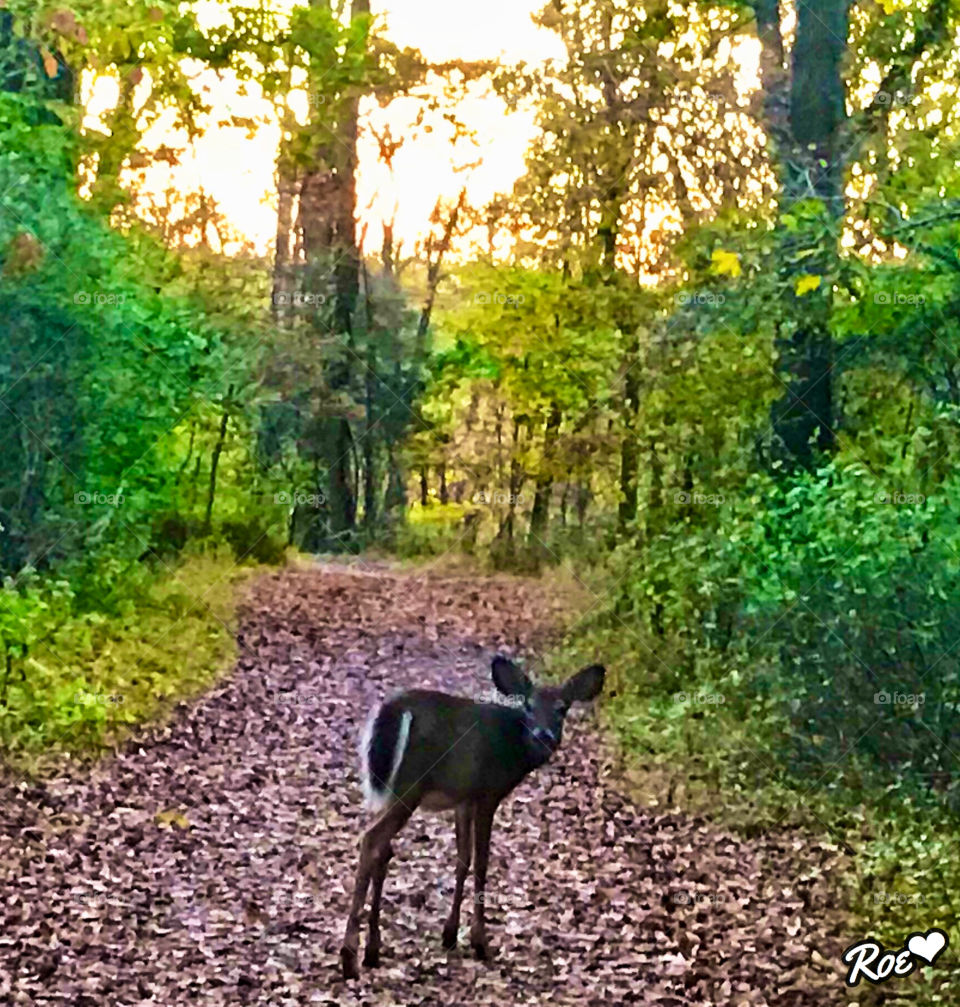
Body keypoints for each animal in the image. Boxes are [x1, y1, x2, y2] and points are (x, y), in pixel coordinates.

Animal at [339, 654, 605, 980]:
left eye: (561, 708)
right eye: (528, 705)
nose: (544, 735)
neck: (514, 749)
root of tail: (392, 712)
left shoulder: (462, 800)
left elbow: (462, 859)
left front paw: (450, 934)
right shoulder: (487, 793)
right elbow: (481, 863)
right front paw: (480, 941)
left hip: (387, 790)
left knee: (383, 850)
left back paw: (372, 950)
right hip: (409, 786)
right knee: (371, 841)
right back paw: (349, 957)